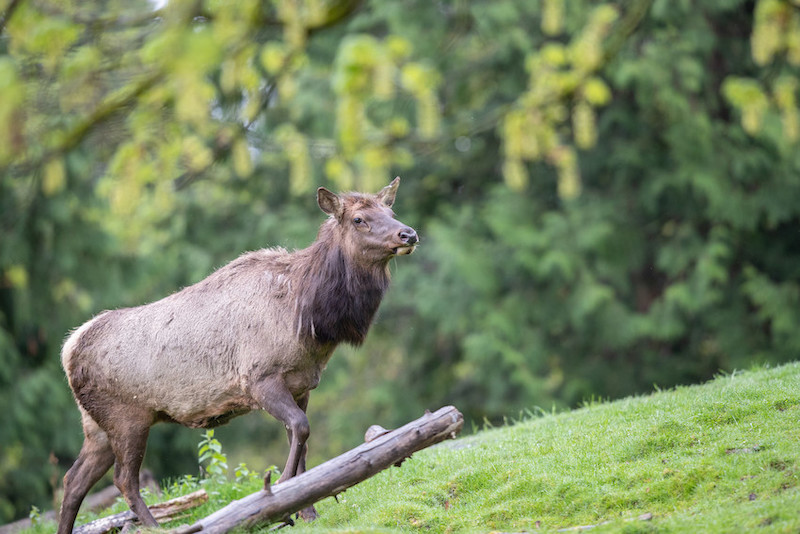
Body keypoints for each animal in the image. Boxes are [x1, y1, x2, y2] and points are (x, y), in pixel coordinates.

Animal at [57, 178, 418, 533]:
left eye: (391, 211)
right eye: (358, 219)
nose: (409, 234)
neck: (308, 319)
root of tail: (69, 348)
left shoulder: (302, 385)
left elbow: (301, 442)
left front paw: (307, 511)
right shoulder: (259, 379)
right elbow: (301, 430)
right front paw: (279, 498)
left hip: (97, 425)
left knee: (73, 479)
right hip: (127, 417)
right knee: (124, 480)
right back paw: (158, 526)